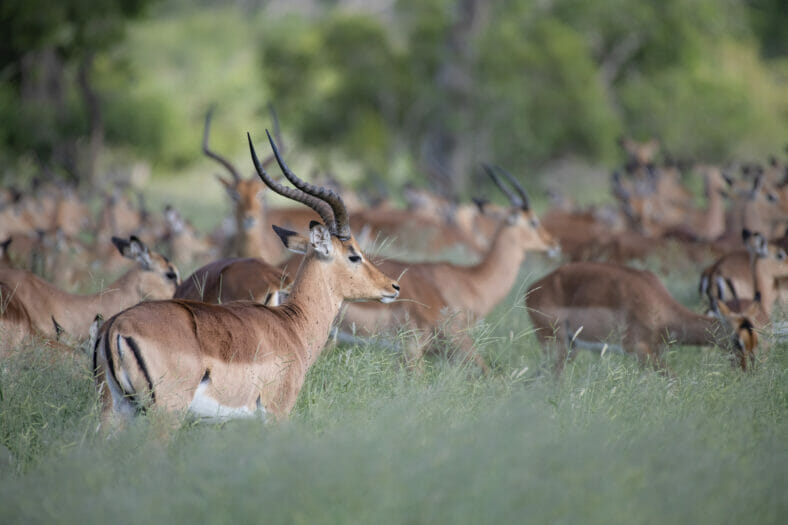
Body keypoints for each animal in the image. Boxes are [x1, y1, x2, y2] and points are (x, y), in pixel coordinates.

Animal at [92, 131, 400, 426]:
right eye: (353, 255)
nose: (393, 286)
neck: (291, 324)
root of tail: (116, 327)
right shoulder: (277, 413)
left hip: (115, 411)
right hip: (166, 413)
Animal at [526, 262, 760, 373]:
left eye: (755, 342)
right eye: (737, 341)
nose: (746, 371)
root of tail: (531, 289)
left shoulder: (652, 353)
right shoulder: (639, 351)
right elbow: (674, 379)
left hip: (569, 348)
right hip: (556, 345)